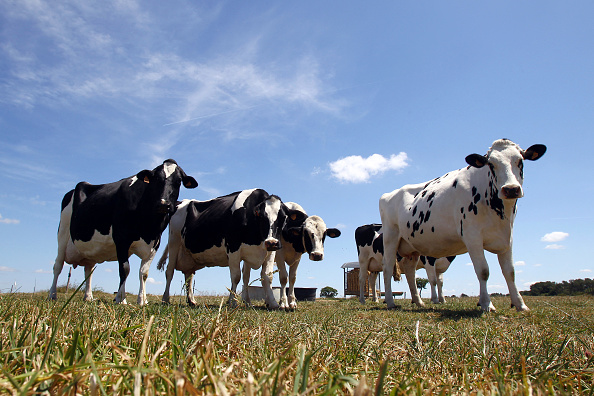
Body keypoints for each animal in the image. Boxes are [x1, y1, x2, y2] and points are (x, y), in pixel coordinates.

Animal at [48, 159, 197, 304]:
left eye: (178, 181)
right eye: (155, 179)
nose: (163, 204)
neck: (148, 225)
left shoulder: (155, 243)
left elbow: (144, 273)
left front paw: (142, 300)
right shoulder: (121, 238)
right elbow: (124, 269)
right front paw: (121, 299)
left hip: (89, 250)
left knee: (88, 270)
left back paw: (88, 296)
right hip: (63, 232)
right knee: (58, 265)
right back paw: (52, 295)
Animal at [155, 189, 302, 310]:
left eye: (283, 218)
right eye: (262, 216)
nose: (272, 242)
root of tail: (182, 202)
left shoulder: (269, 252)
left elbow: (267, 276)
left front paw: (273, 303)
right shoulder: (233, 248)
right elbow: (236, 277)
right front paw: (233, 301)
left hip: (188, 254)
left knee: (189, 276)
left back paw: (191, 300)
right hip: (174, 241)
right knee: (169, 272)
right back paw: (165, 299)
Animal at [376, 140, 544, 312]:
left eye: (520, 161)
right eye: (491, 164)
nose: (511, 189)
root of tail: (388, 194)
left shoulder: (507, 238)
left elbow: (510, 272)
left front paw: (520, 304)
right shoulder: (472, 237)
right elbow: (483, 271)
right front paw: (486, 304)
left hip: (411, 246)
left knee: (410, 272)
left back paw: (418, 301)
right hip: (391, 237)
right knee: (387, 268)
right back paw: (390, 301)